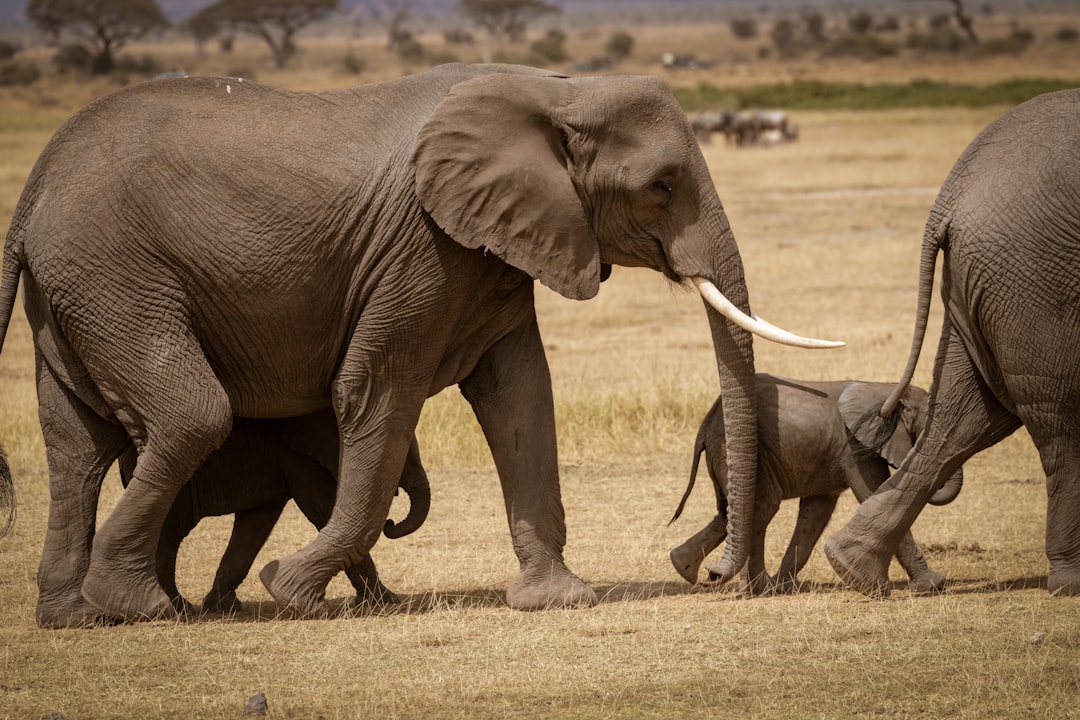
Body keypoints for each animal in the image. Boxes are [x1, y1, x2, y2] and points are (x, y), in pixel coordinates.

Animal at [112, 414, 425, 617]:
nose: (390, 523)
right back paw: (176, 608)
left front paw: (223, 607)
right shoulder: (295, 456)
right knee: (168, 534)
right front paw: (387, 601)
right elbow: (321, 507)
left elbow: (256, 523)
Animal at [665, 375, 963, 595]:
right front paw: (934, 584)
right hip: (742, 453)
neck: (887, 389)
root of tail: (707, 421)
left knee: (733, 513)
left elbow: (815, 515)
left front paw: (787, 587)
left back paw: (686, 567)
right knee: (761, 509)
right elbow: (871, 495)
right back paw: (756, 588)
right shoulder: (855, 448)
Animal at [825, 88, 1080, 595]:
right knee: (1057, 421)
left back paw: (852, 567)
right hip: (1034, 280)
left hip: (991, 280)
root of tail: (952, 195)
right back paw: (1069, 583)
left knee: (966, 418)